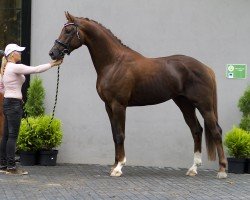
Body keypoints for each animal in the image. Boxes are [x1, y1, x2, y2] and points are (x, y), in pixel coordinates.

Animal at [48, 12, 227, 178]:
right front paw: (114, 166)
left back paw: (222, 170)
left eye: (68, 30)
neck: (114, 62)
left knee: (216, 131)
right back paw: (193, 169)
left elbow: (120, 135)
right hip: (184, 104)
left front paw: (119, 167)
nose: (53, 53)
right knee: (196, 130)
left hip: (204, 106)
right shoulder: (108, 106)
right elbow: (114, 135)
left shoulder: (119, 105)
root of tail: (206, 68)